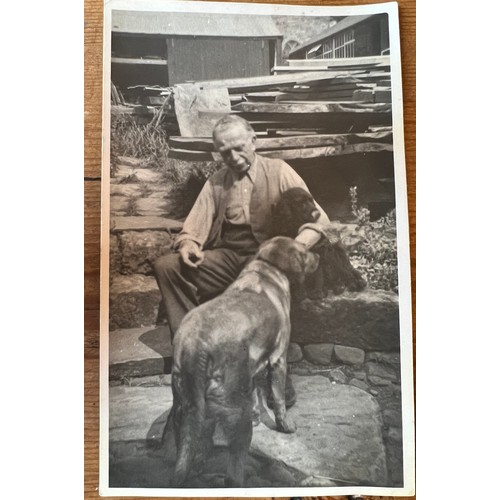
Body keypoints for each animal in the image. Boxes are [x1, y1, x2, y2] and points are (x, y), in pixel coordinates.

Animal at [166, 236, 318, 486]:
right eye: (305, 252)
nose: (319, 256)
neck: (267, 269)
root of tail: (196, 346)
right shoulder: (278, 358)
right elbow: (278, 398)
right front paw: (285, 425)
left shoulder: (253, 363)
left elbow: (255, 391)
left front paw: (259, 413)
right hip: (236, 417)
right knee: (233, 474)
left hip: (184, 410)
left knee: (189, 454)